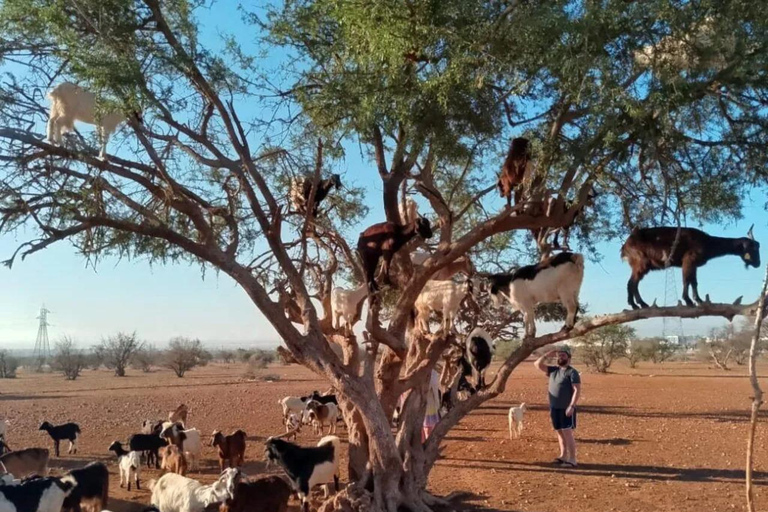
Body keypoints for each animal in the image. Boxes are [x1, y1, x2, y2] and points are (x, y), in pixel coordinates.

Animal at [620, 225, 760, 308]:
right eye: (752, 248)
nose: (758, 264)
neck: (707, 242)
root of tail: (625, 246)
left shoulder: (694, 264)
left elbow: (694, 281)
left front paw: (699, 300)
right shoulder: (688, 260)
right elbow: (687, 280)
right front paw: (688, 301)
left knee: (632, 283)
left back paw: (638, 304)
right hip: (641, 263)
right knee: (632, 283)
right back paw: (638, 304)